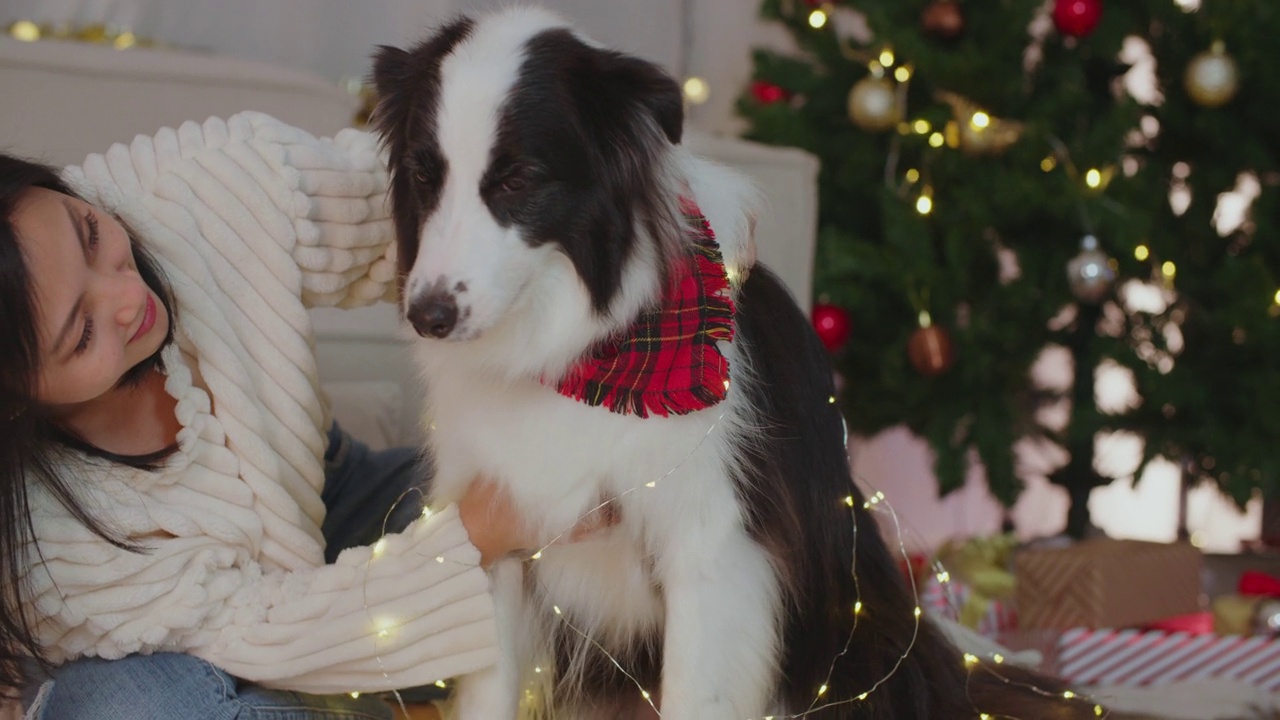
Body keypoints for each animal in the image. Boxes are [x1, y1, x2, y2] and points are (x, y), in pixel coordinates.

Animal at [371, 7, 1090, 717]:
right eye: (423, 176)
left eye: (517, 178)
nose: (427, 314)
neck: (579, 356)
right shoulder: (494, 544)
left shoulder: (714, 553)